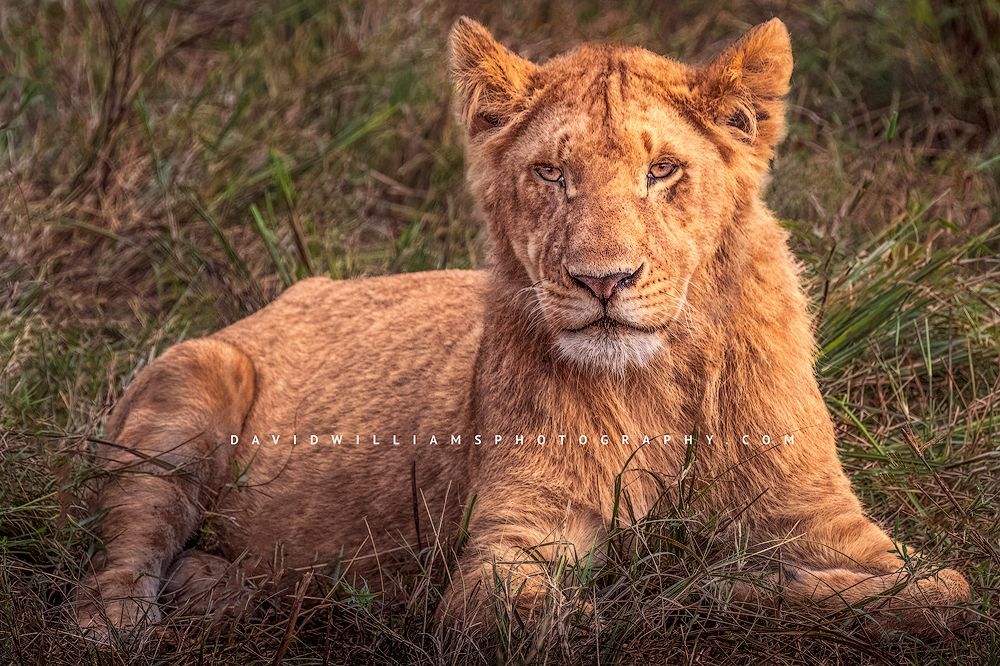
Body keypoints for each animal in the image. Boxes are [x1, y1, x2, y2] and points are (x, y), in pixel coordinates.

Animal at [76, 17, 970, 640]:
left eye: (663, 170)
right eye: (551, 173)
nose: (603, 281)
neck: (657, 379)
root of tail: (279, 299)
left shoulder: (827, 522)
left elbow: (942, 593)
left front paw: (742, 576)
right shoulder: (512, 549)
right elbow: (610, 612)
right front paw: (710, 581)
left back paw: (223, 589)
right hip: (193, 376)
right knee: (122, 550)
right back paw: (127, 623)